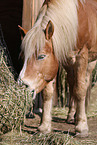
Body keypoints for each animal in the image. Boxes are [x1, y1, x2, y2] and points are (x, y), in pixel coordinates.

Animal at [18, 0, 97, 137]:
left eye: (41, 56)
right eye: (23, 57)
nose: (23, 85)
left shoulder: (82, 55)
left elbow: (80, 89)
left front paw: (81, 127)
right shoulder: (57, 59)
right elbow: (48, 93)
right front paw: (44, 126)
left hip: (90, 61)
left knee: (83, 83)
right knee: (71, 83)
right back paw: (71, 115)